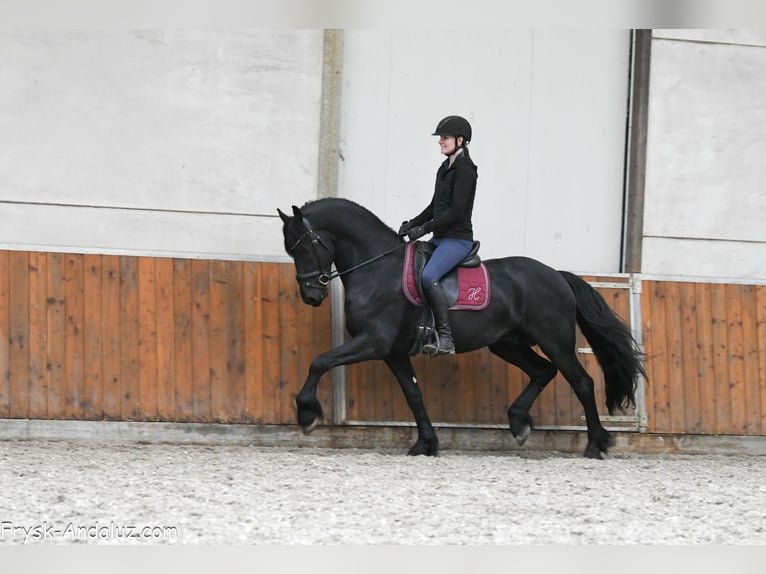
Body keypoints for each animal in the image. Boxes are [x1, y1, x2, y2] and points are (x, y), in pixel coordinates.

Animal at [278, 198, 646, 459]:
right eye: (291, 249)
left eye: (306, 246)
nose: (312, 296)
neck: (378, 268)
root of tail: (557, 275)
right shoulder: (394, 352)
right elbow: (413, 394)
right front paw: (426, 444)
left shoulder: (374, 342)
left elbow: (321, 361)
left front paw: (307, 414)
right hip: (508, 344)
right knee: (542, 372)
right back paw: (519, 424)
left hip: (554, 340)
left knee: (581, 382)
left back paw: (596, 445)